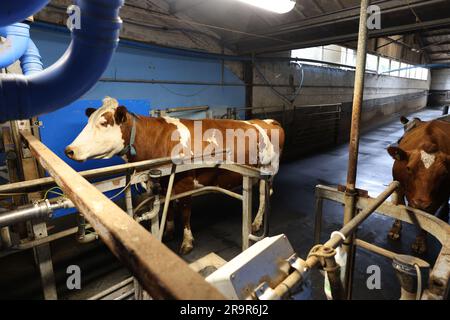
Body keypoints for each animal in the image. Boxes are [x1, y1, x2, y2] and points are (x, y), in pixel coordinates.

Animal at [64, 97, 284, 255]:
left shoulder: (184, 183)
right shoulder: (161, 181)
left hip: (268, 169)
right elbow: (168, 207)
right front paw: (169, 231)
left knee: (264, 195)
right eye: (89, 122)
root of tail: (266, 120)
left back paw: (256, 223)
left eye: (103, 123)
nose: (69, 150)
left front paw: (187, 242)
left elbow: (185, 212)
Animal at [386, 116, 450, 254]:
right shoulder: (399, 185)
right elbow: (399, 206)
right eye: (408, 168)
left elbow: (428, 218)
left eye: (444, 173)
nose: (420, 203)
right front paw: (395, 230)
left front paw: (420, 242)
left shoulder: (438, 198)